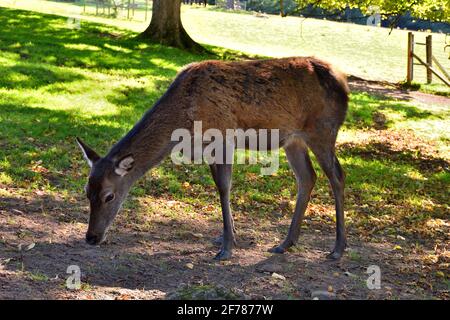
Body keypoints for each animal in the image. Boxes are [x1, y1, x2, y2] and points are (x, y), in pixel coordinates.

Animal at [77, 56, 350, 260]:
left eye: (109, 196)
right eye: (86, 191)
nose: (91, 238)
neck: (185, 119)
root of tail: (344, 84)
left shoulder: (223, 137)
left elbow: (224, 187)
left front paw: (226, 247)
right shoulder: (208, 148)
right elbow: (219, 185)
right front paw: (229, 237)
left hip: (323, 130)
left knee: (337, 175)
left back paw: (338, 248)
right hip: (293, 140)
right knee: (307, 177)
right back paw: (286, 243)